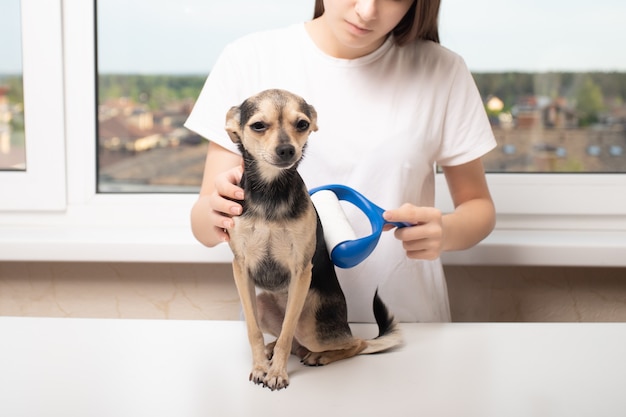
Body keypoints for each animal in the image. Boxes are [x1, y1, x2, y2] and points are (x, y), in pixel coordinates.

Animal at [224, 88, 400, 390]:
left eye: (302, 124)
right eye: (258, 125)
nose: (287, 150)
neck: (271, 192)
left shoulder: (300, 270)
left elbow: (287, 332)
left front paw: (277, 373)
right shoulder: (241, 267)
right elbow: (254, 331)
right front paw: (260, 366)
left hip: (311, 327)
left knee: (351, 343)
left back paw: (320, 356)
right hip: (261, 303)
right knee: (292, 341)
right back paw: (272, 350)